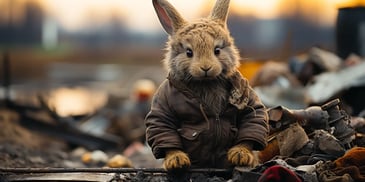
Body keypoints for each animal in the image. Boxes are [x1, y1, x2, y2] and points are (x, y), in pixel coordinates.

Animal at [144, 0, 268, 172]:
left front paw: (240, 155)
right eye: (189, 52)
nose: (206, 67)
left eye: (217, 50)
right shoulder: (163, 103)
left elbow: (252, 118)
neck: (206, 81)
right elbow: (163, 125)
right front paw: (176, 160)